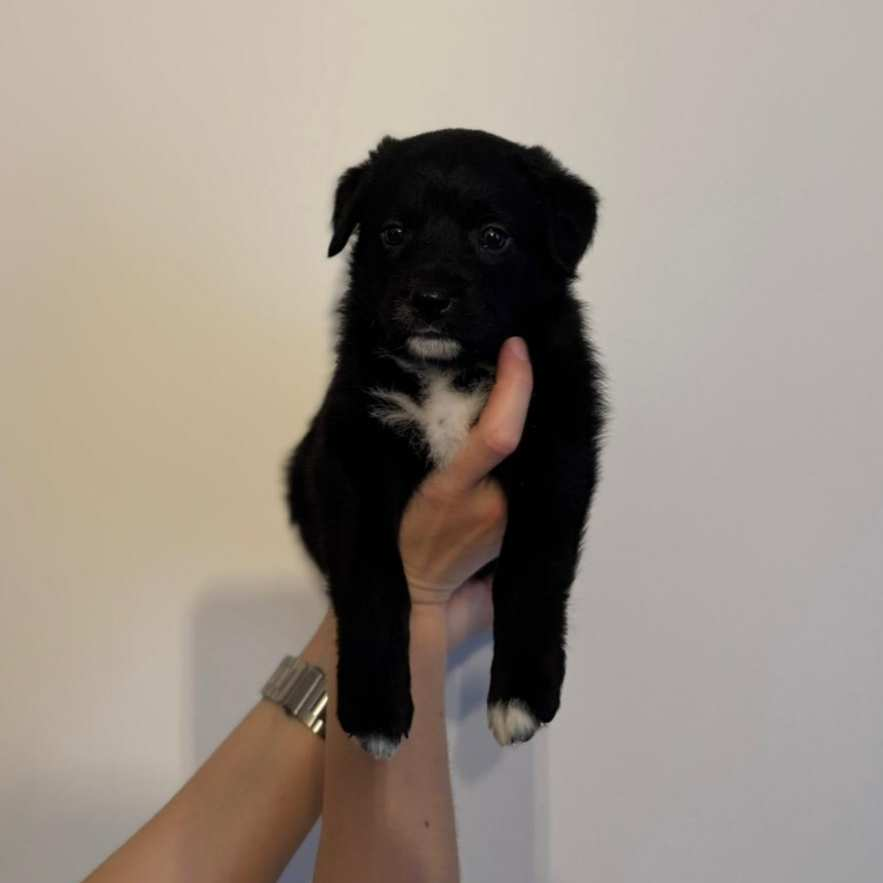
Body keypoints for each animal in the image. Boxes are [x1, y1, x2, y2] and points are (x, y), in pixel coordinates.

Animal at [286, 128, 605, 758]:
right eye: (393, 233)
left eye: (493, 237)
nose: (430, 299)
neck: (447, 374)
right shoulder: (352, 452)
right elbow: (372, 578)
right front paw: (376, 710)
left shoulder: (556, 452)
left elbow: (534, 571)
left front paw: (520, 697)